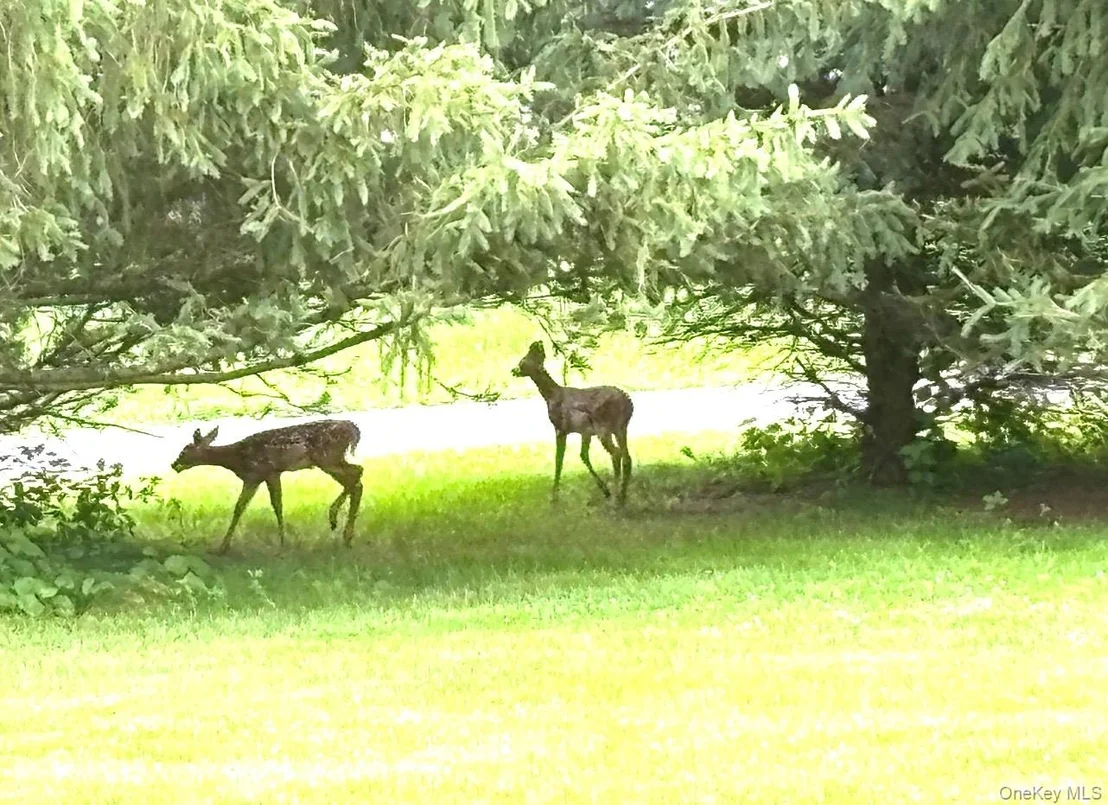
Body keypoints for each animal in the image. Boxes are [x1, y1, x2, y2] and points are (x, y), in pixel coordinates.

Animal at [170, 419, 364, 555]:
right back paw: (345, 536)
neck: (236, 458)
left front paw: (283, 543)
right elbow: (239, 508)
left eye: (184, 450)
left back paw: (335, 518)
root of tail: (353, 428)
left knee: (357, 474)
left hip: (327, 457)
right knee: (356, 478)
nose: (174, 465)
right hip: (330, 459)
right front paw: (222, 548)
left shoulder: (269, 471)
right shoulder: (254, 478)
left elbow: (277, 506)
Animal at [512, 340, 634, 505]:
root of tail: (629, 403)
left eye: (522, 362)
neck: (552, 396)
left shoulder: (560, 428)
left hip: (604, 428)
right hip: (620, 427)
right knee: (627, 457)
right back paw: (622, 496)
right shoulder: (585, 432)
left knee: (616, 454)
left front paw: (554, 498)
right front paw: (604, 490)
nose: (514, 370)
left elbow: (559, 460)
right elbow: (583, 455)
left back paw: (615, 498)